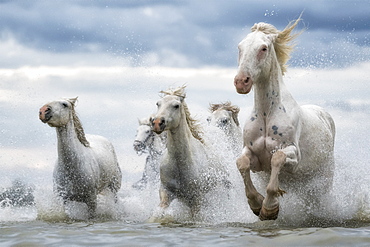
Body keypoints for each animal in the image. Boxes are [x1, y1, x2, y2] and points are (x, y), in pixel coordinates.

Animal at [151, 86, 228, 217]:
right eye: (158, 103)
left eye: (176, 105)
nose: (157, 123)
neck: (179, 162)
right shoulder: (165, 192)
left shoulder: (196, 199)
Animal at [234, 18, 336, 221]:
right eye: (240, 47)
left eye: (263, 48)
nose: (241, 81)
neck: (267, 114)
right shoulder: (253, 157)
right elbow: (242, 163)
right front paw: (256, 204)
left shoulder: (294, 157)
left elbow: (277, 158)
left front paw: (269, 208)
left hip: (323, 180)